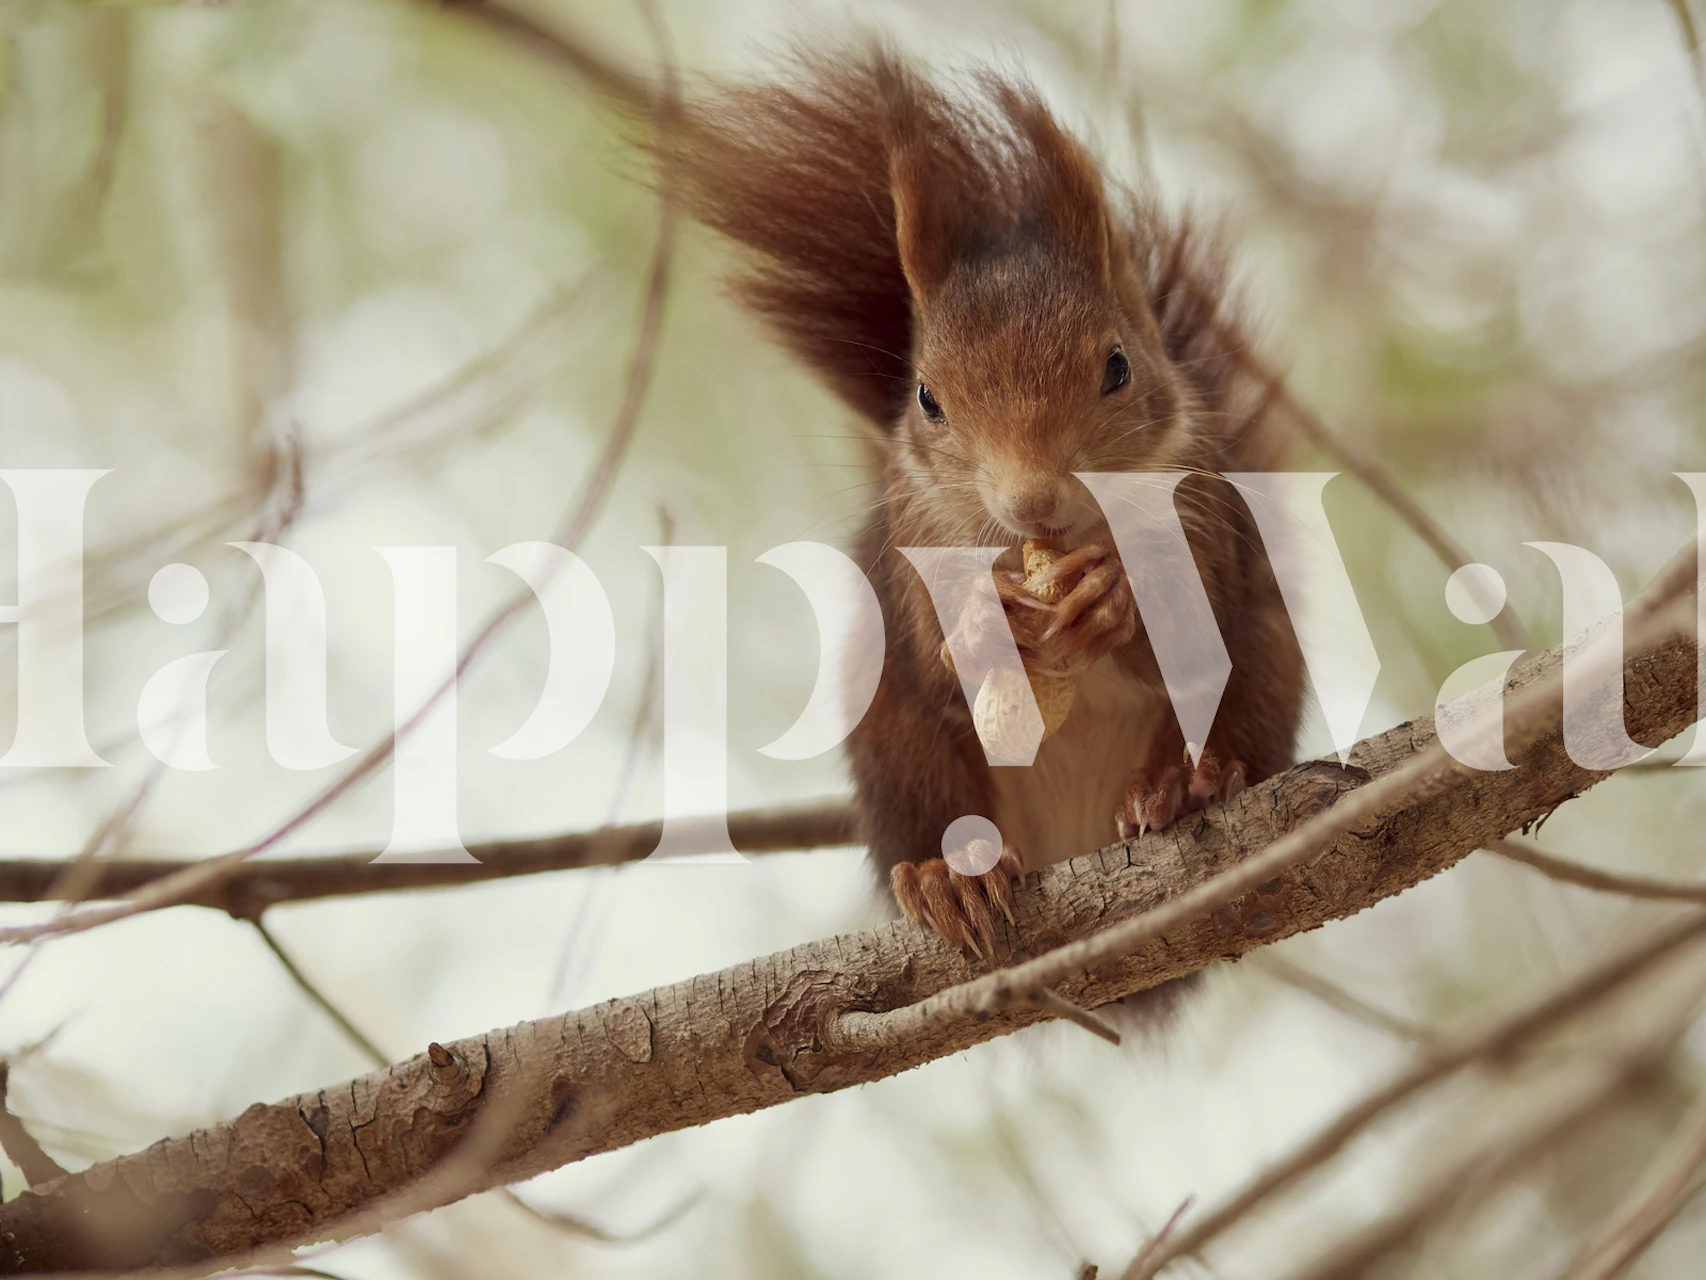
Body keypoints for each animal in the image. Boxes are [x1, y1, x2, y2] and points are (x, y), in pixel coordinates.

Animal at [665, 44, 1306, 958]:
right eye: (926, 398)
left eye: (1118, 365)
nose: (1033, 501)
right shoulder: (912, 538)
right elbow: (937, 651)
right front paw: (982, 619)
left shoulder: (1201, 506)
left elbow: (1194, 631)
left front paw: (1113, 597)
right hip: (897, 746)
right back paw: (949, 876)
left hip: (1265, 673)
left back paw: (1176, 789)